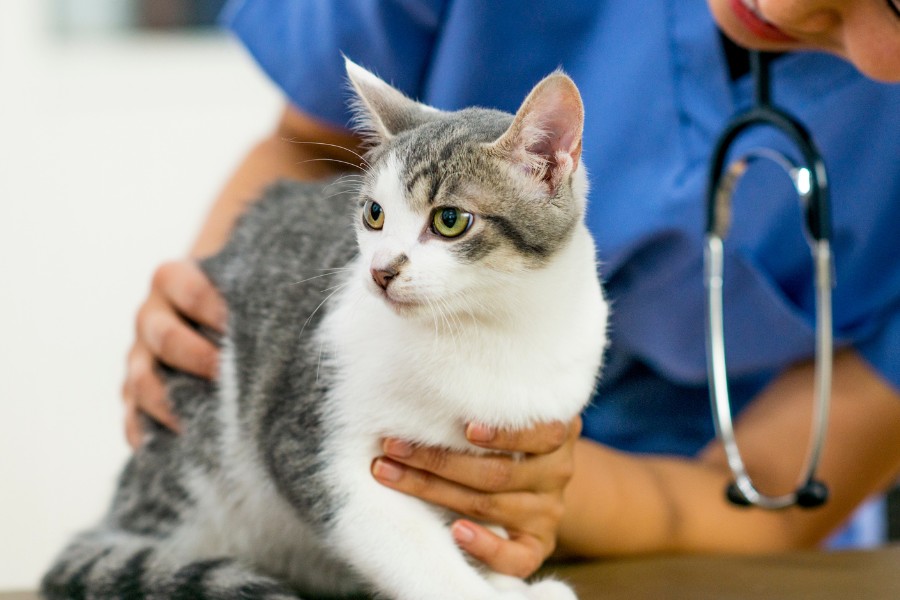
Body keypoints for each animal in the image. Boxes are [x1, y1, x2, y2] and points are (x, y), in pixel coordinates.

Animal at [40, 57, 604, 600]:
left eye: (449, 221)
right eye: (374, 214)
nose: (381, 270)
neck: (492, 327)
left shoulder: (503, 453)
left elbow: (488, 527)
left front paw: (506, 581)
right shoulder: (312, 443)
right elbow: (407, 547)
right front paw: (491, 592)